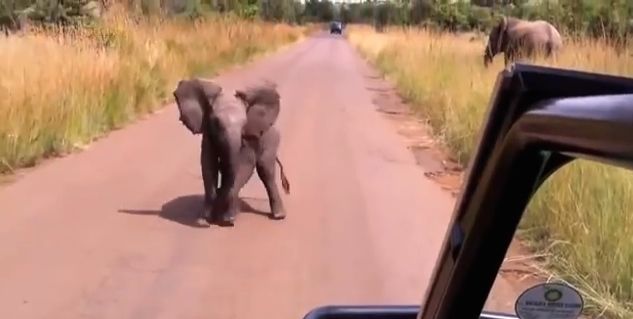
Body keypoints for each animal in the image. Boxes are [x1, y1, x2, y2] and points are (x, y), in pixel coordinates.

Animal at [173, 78, 292, 226]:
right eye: (216, 122)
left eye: (244, 123)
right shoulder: (208, 133)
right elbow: (208, 165)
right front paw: (204, 220)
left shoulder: (247, 138)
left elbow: (245, 165)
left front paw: (227, 219)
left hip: (272, 141)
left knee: (265, 170)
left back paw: (278, 216)